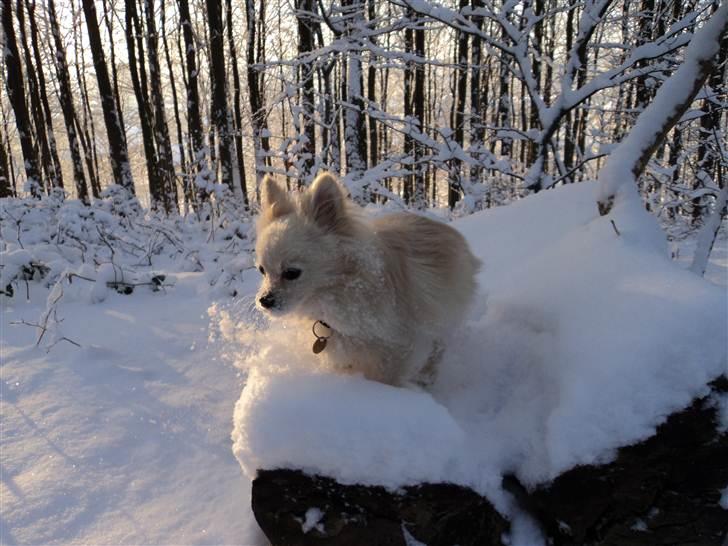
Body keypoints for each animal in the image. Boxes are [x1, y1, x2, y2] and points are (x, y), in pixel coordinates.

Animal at [253, 172, 480, 384]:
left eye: (292, 273)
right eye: (262, 270)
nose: (264, 300)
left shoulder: (395, 350)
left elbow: (386, 379)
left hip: (442, 321)